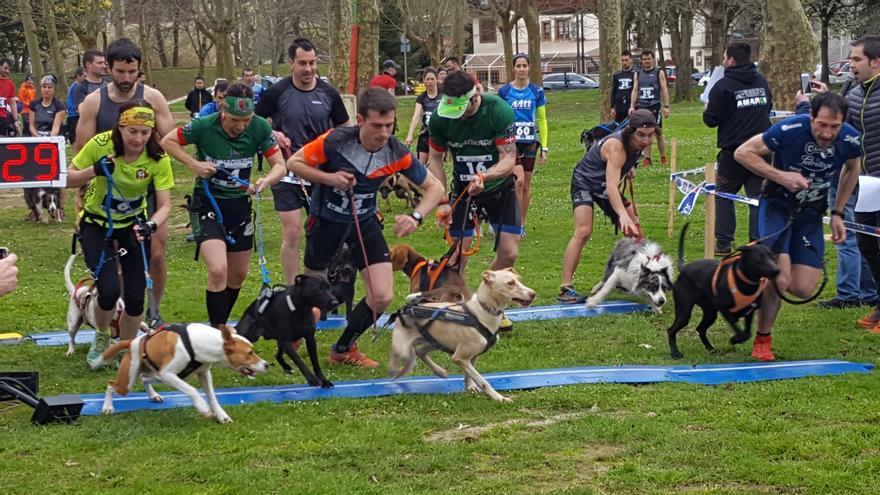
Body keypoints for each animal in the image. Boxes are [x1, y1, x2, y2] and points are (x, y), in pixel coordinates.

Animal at [94, 324, 270, 424]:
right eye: (249, 353)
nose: (267, 365)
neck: (198, 342)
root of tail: (133, 341)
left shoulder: (204, 375)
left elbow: (213, 397)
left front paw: (221, 416)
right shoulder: (168, 374)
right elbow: (192, 390)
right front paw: (203, 408)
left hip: (155, 375)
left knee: (145, 378)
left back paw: (153, 395)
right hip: (130, 381)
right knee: (111, 385)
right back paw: (107, 407)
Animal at [386, 268, 536, 404]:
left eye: (519, 279)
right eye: (510, 283)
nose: (533, 294)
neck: (481, 313)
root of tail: (406, 308)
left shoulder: (472, 356)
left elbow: (470, 374)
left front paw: (470, 386)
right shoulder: (459, 357)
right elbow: (482, 380)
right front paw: (499, 398)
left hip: (435, 342)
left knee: (419, 351)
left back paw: (439, 371)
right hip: (404, 348)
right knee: (400, 362)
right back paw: (396, 375)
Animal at [664, 225, 780, 360]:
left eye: (772, 256)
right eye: (759, 258)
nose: (777, 270)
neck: (744, 280)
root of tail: (683, 269)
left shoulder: (750, 311)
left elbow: (747, 332)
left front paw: (737, 339)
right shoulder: (724, 309)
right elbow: (739, 330)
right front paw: (735, 339)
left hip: (710, 313)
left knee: (701, 329)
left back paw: (711, 349)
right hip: (684, 312)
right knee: (671, 330)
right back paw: (675, 353)